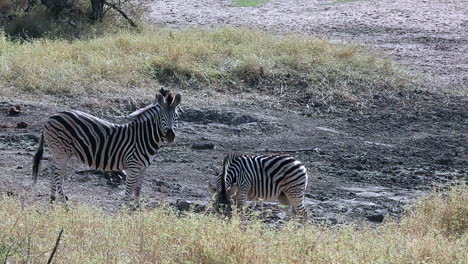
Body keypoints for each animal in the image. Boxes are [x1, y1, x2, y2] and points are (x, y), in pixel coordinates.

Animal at [32, 88, 182, 206]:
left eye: (176, 116)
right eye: (162, 117)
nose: (170, 136)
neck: (143, 137)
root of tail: (51, 117)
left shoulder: (143, 168)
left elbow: (137, 190)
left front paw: (137, 210)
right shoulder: (133, 167)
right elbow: (128, 191)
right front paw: (124, 213)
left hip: (61, 152)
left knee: (53, 170)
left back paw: (53, 199)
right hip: (61, 150)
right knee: (58, 174)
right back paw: (64, 205)